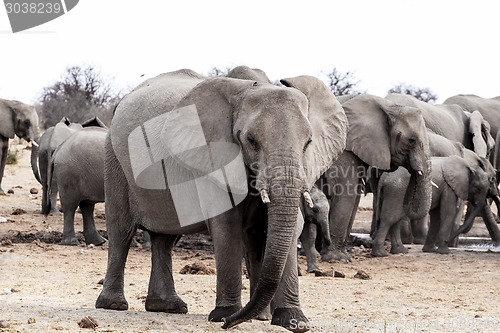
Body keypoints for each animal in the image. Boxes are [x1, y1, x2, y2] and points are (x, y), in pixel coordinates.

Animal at [95, 66, 350, 330]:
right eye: (251, 141)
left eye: (308, 142)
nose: (229, 323)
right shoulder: (213, 156)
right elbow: (226, 224)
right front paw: (225, 314)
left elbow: (283, 227)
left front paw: (291, 321)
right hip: (113, 158)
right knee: (121, 230)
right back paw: (114, 304)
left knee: (165, 238)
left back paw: (168, 307)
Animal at [318, 93, 432, 262]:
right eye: (411, 141)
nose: (414, 170)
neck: (388, 106)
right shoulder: (344, 149)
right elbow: (347, 194)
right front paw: (337, 259)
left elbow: (355, 196)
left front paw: (342, 255)